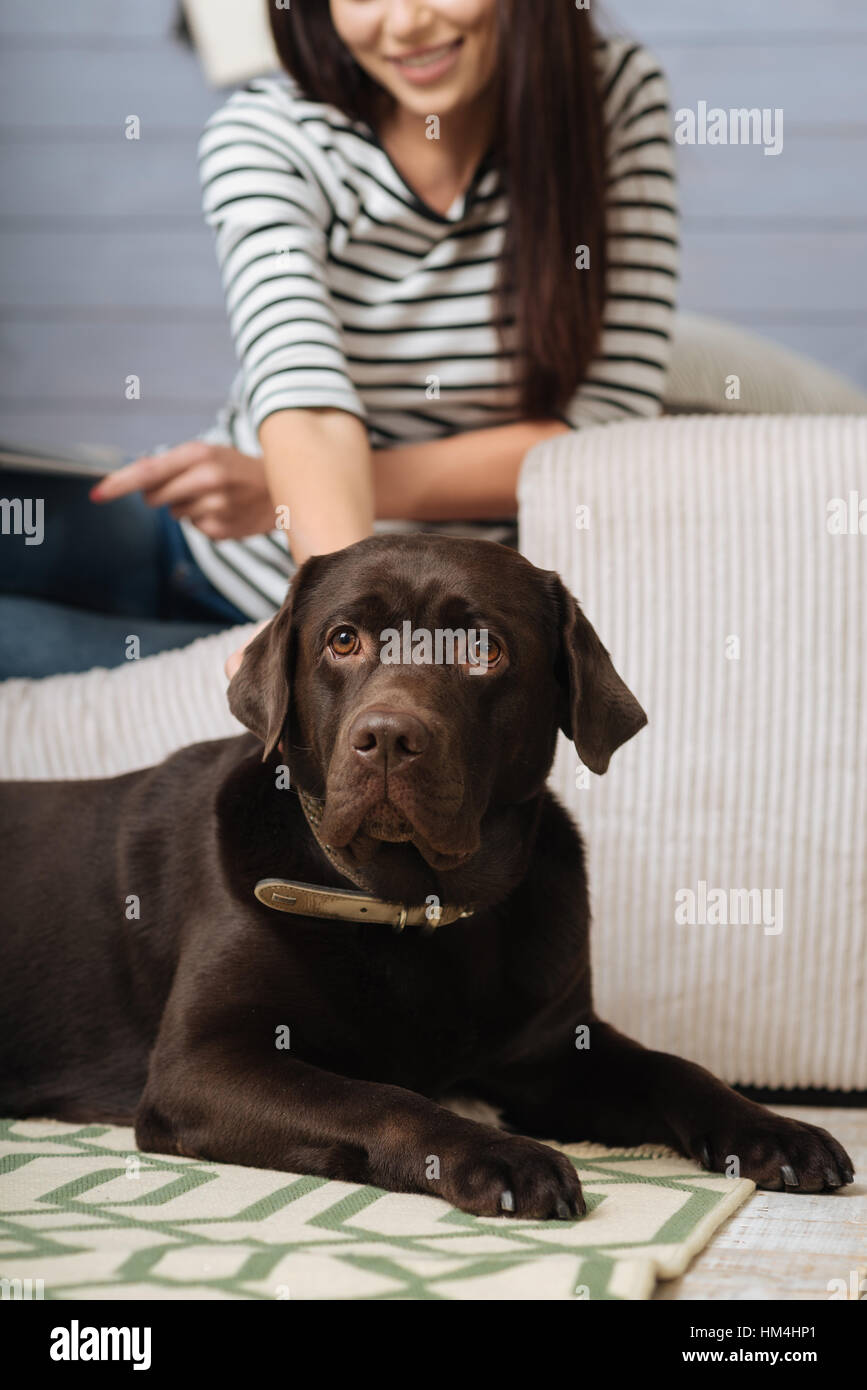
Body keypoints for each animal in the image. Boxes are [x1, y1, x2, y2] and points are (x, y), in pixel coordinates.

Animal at [0, 533, 855, 1217]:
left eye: (484, 651)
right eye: (343, 639)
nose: (385, 737)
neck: (417, 906)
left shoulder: (553, 1053)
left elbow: (675, 1069)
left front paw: (776, 1130)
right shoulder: (202, 1064)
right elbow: (377, 1095)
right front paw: (499, 1156)